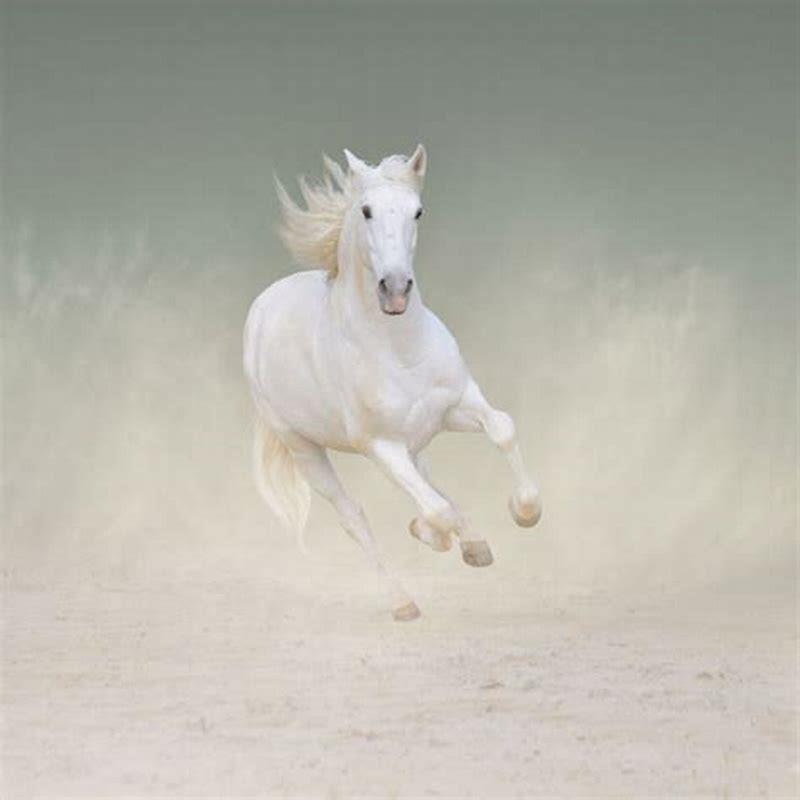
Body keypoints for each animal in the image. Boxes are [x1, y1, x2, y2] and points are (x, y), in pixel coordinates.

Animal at [243, 145, 542, 621]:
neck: (400, 350)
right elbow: (436, 511)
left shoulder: (457, 404)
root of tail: (265, 303)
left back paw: (473, 543)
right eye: (365, 210)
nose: (396, 289)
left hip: (416, 437)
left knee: (428, 477)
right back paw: (403, 602)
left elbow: (503, 429)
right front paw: (431, 533)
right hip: (304, 449)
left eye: (417, 211)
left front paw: (523, 513)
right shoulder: (381, 446)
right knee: (354, 516)